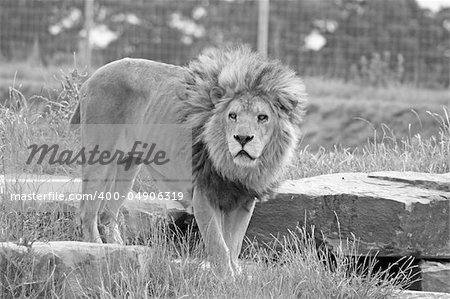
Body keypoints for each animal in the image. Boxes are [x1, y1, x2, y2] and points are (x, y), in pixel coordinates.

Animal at [70, 45, 308, 278]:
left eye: (262, 117)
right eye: (232, 115)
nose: (242, 138)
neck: (235, 167)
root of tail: (91, 78)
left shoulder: (243, 200)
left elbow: (233, 245)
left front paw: (235, 278)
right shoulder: (203, 195)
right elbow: (218, 245)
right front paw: (226, 280)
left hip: (128, 167)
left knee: (107, 214)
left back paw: (121, 251)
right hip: (100, 157)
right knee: (87, 213)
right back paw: (98, 253)